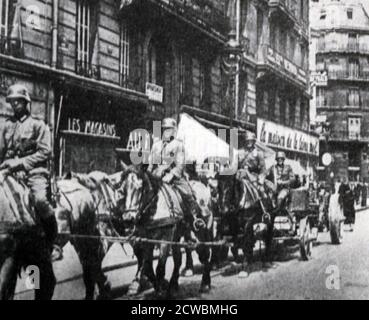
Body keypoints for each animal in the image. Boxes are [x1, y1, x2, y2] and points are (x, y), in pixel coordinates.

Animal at [119, 165, 214, 298]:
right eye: (123, 189)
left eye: (139, 187)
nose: (128, 219)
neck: (155, 208)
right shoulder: (146, 241)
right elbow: (148, 268)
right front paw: (159, 288)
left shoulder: (165, 239)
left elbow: (159, 268)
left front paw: (160, 292)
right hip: (178, 235)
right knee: (178, 259)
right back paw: (173, 286)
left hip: (201, 231)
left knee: (204, 253)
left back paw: (205, 284)